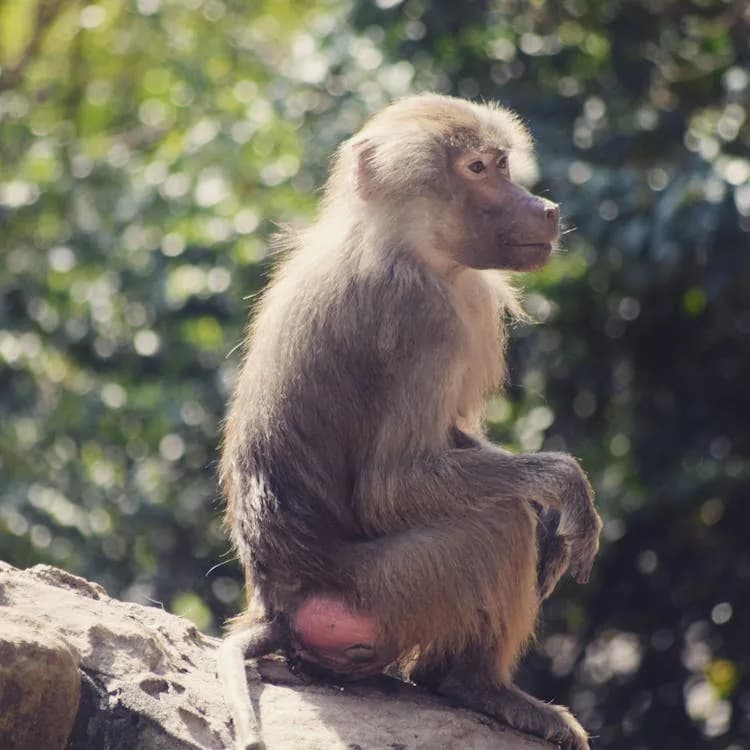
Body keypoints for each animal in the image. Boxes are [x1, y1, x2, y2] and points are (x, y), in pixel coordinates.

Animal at [217, 93, 602, 750]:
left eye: (502, 162)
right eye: (478, 169)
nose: (546, 210)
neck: (403, 242)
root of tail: (275, 604)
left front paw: (556, 518)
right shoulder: (425, 321)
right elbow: (392, 486)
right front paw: (563, 486)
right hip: (383, 593)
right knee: (496, 526)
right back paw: (477, 688)